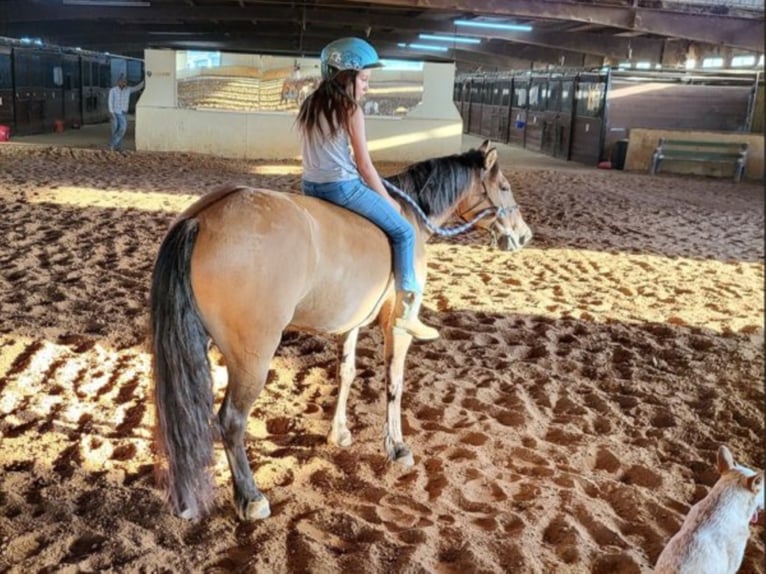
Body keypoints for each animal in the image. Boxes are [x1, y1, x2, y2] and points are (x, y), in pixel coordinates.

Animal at [150, 140, 536, 520]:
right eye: (504, 187)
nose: (524, 235)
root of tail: (204, 217)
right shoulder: (396, 328)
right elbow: (394, 383)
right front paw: (397, 447)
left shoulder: (351, 323)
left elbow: (346, 373)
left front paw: (339, 433)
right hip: (252, 357)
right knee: (230, 419)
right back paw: (251, 497)